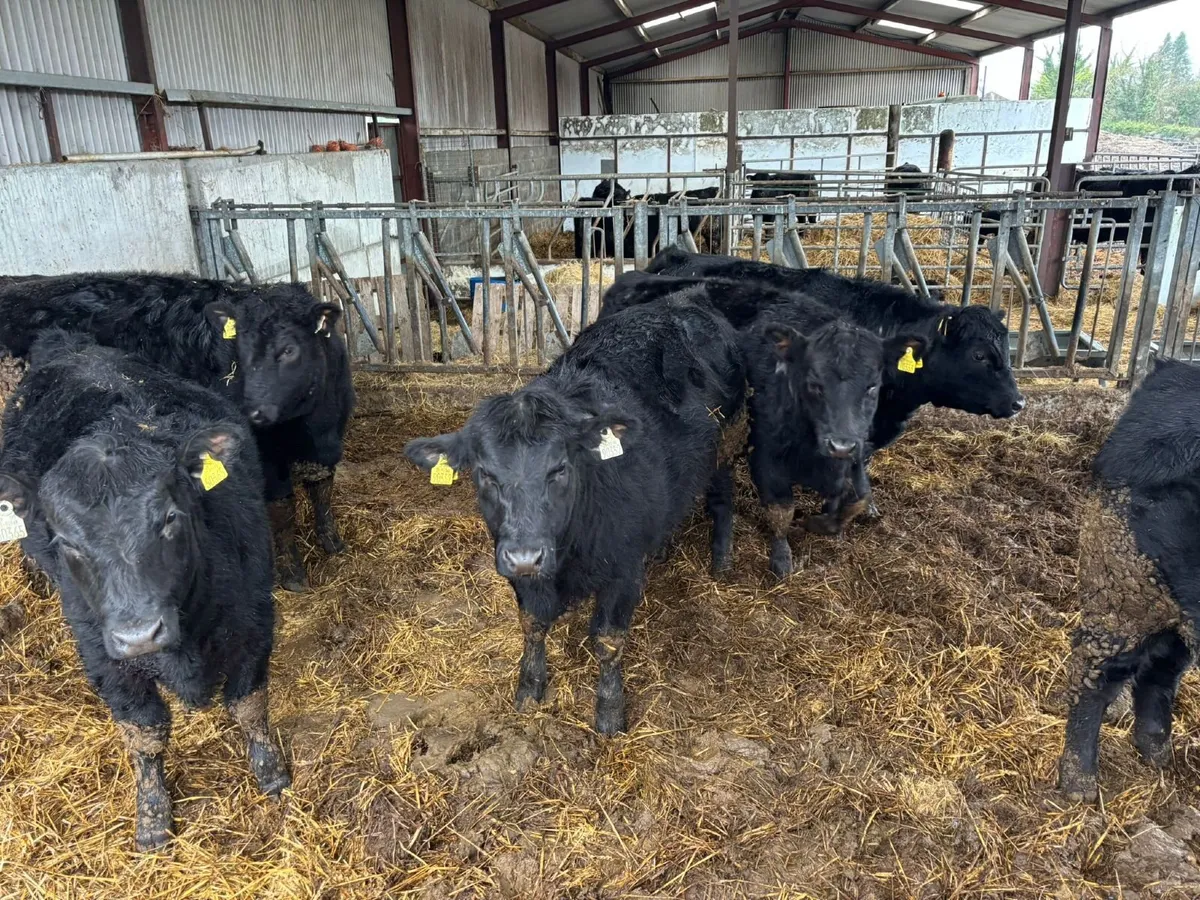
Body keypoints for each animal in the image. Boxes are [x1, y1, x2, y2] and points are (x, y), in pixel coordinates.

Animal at [0, 273, 356, 592]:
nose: (253, 410)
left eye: (288, 350)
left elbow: (322, 490)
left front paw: (333, 542)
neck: (309, 426)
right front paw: (292, 571)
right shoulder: (268, 461)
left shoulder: (327, 444)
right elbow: (283, 510)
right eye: (240, 353)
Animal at [0, 330, 288, 850]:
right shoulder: (101, 654)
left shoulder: (254, 616)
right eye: (66, 541)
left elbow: (249, 704)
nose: (139, 636)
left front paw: (271, 772)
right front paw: (152, 817)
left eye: (170, 517)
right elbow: (144, 732)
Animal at [404, 292, 745, 734]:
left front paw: (610, 712)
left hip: (728, 445)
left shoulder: (622, 570)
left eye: (559, 468)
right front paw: (529, 687)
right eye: (485, 474)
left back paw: (721, 560)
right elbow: (532, 625)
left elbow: (608, 640)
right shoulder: (518, 569)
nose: (526, 556)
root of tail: (683, 298)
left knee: (723, 499)